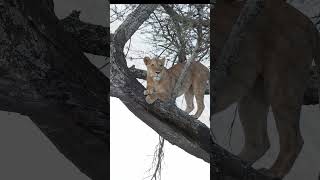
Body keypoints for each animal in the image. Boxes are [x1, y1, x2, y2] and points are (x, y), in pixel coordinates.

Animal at [212, 0, 320, 179]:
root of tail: (307, 21)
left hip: (282, 82)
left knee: (294, 139)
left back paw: (272, 173)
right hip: (253, 91)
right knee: (260, 142)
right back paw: (235, 163)